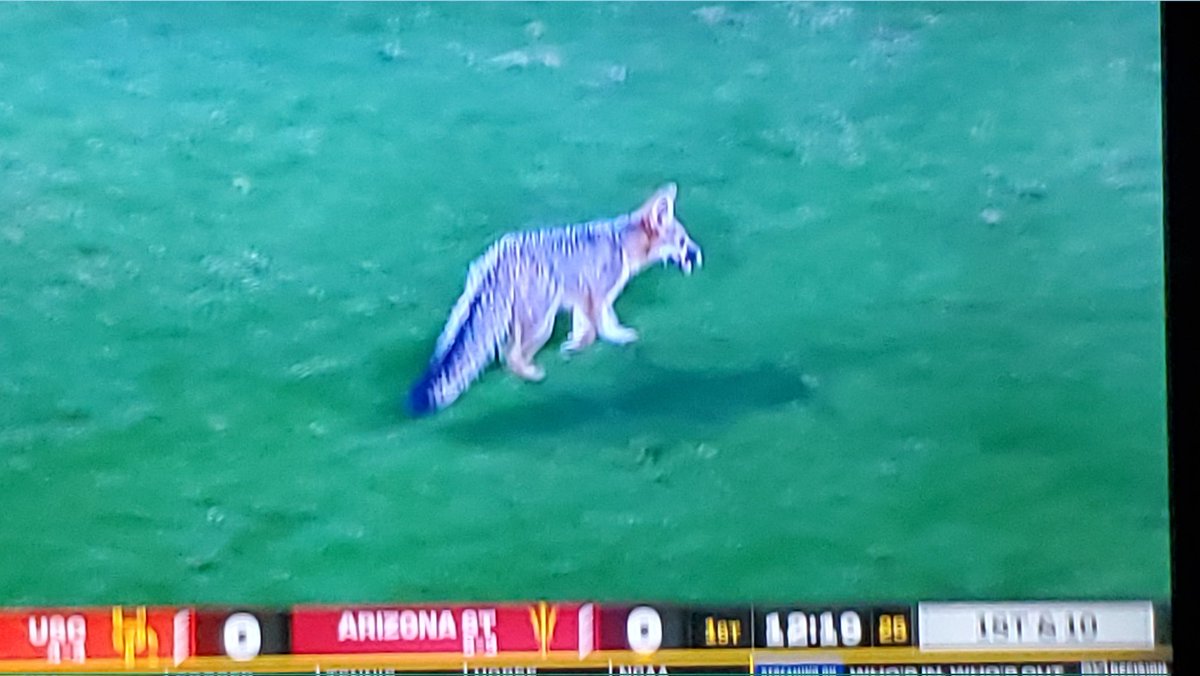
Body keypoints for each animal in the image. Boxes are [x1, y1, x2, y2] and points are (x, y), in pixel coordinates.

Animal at [407, 183, 702, 416]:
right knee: (510, 356)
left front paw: (575, 345)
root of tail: (498, 260)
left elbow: (586, 330)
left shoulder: (584, 298)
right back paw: (531, 374)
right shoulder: (598, 296)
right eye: (682, 242)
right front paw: (614, 338)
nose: (699, 255)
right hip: (542, 323)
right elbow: (602, 326)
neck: (622, 241)